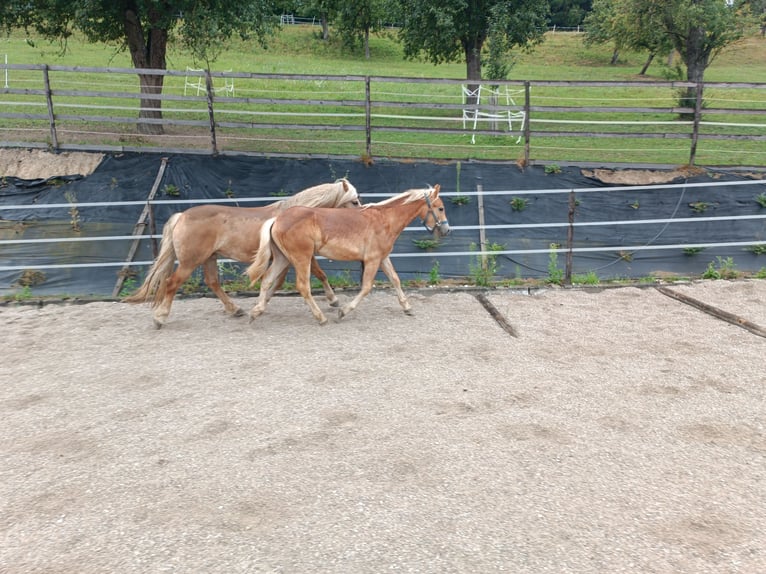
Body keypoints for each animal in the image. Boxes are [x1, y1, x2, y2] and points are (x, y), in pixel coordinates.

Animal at [124, 178, 364, 328]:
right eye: (353, 201)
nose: (363, 213)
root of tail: (181, 216)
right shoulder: (299, 257)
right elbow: (319, 274)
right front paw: (334, 301)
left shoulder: (286, 260)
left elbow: (276, 282)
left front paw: (261, 306)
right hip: (190, 262)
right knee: (172, 284)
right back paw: (160, 318)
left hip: (209, 258)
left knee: (212, 282)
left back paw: (235, 309)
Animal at [246, 187, 450, 326]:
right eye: (440, 208)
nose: (447, 230)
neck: (384, 220)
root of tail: (277, 219)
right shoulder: (372, 260)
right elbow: (366, 287)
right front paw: (343, 312)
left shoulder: (383, 258)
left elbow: (395, 280)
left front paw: (407, 308)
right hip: (301, 258)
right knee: (303, 286)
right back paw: (321, 318)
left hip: (283, 258)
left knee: (266, 279)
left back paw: (256, 311)